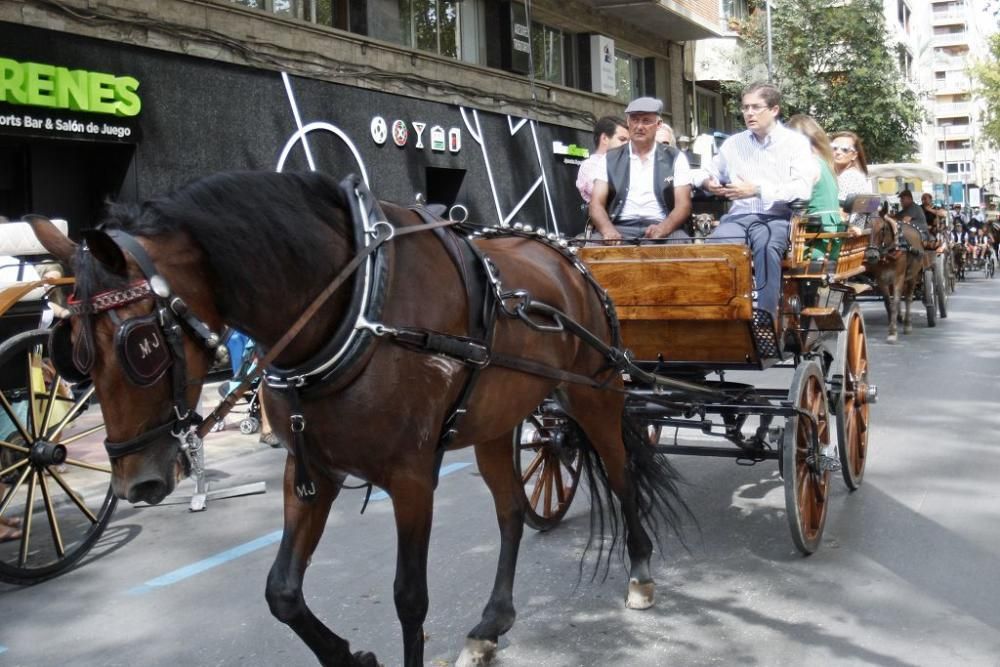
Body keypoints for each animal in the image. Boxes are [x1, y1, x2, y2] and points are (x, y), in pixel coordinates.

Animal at [29, 171, 688, 667]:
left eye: (140, 346)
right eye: (72, 353)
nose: (135, 483)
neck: (358, 308)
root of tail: (568, 258)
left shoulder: (412, 476)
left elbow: (409, 599)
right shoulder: (310, 469)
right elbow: (281, 592)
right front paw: (351, 656)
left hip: (595, 395)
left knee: (622, 475)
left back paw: (640, 573)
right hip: (497, 422)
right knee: (510, 513)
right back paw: (489, 625)